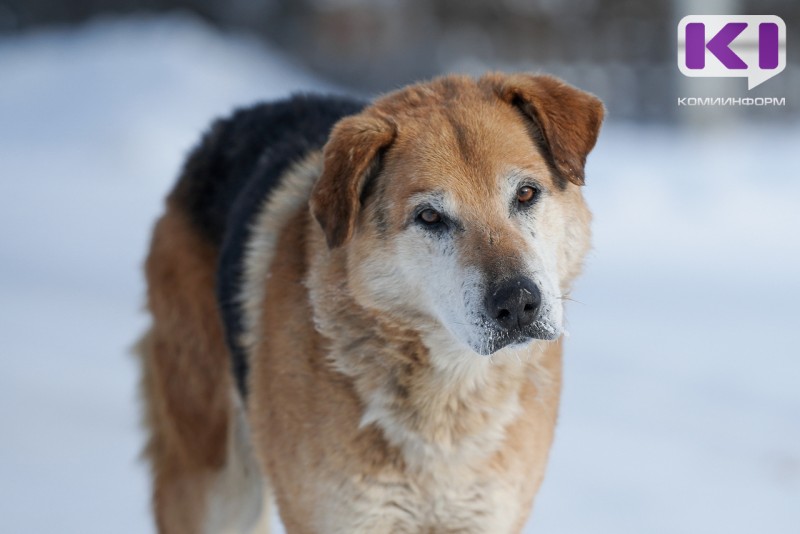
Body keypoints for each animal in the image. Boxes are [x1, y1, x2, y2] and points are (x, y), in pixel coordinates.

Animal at [139, 72, 600, 534]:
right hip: (215, 486)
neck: (448, 404)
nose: (518, 303)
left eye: (525, 194)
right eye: (429, 217)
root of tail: (217, 130)